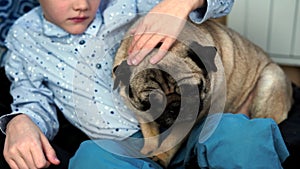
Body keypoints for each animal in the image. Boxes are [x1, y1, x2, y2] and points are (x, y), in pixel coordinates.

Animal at [111, 19, 292, 167]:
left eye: (192, 89)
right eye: (153, 101)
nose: (176, 107)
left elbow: (171, 140)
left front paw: (161, 156)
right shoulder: (141, 113)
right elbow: (150, 133)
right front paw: (146, 152)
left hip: (270, 79)